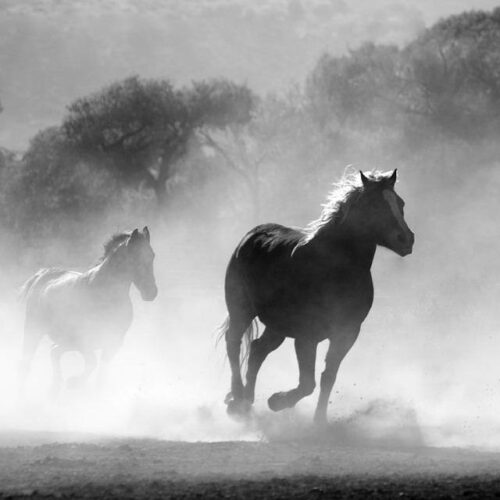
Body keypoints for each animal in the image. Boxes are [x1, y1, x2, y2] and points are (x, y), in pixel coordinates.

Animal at [19, 227, 156, 394]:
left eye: (152, 255)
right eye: (135, 257)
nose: (151, 292)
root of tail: (42, 275)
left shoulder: (113, 343)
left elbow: (101, 376)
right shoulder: (84, 341)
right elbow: (92, 362)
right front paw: (74, 382)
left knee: (54, 352)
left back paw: (56, 387)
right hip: (34, 330)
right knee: (27, 362)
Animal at [222, 170, 414, 424]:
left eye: (400, 203)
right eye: (375, 205)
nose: (407, 239)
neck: (334, 269)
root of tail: (251, 235)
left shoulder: (347, 333)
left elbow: (328, 377)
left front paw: (319, 421)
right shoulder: (307, 336)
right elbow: (307, 383)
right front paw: (277, 401)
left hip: (277, 326)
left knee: (256, 351)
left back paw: (246, 401)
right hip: (241, 310)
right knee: (233, 343)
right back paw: (236, 399)